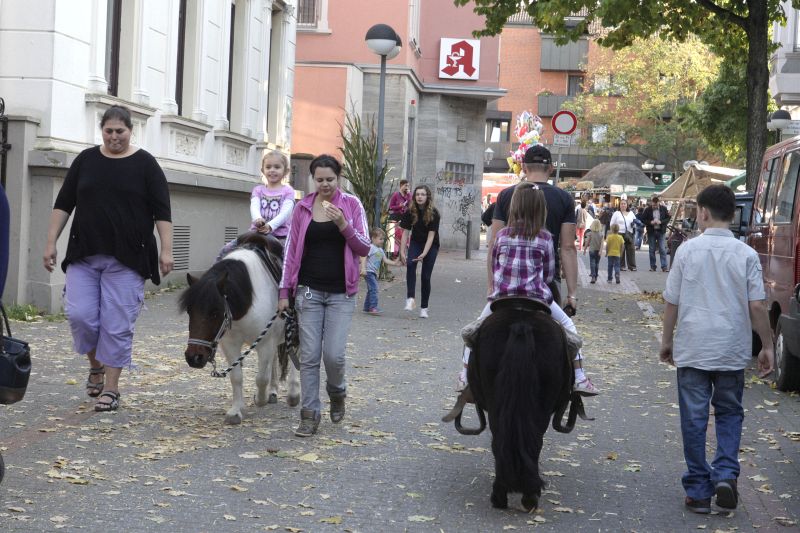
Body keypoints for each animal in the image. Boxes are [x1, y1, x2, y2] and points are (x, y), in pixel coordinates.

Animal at [179, 233, 300, 424]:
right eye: (190, 311)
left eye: (215, 312)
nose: (194, 358)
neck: (247, 301)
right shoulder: (231, 344)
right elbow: (236, 377)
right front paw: (236, 411)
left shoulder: (265, 343)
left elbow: (261, 378)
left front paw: (260, 399)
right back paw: (273, 391)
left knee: (296, 354)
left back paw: (293, 394)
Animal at [444, 298, 588, 511]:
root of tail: (521, 325)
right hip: (540, 408)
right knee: (534, 441)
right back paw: (526, 495)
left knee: (500, 440)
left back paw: (503, 492)